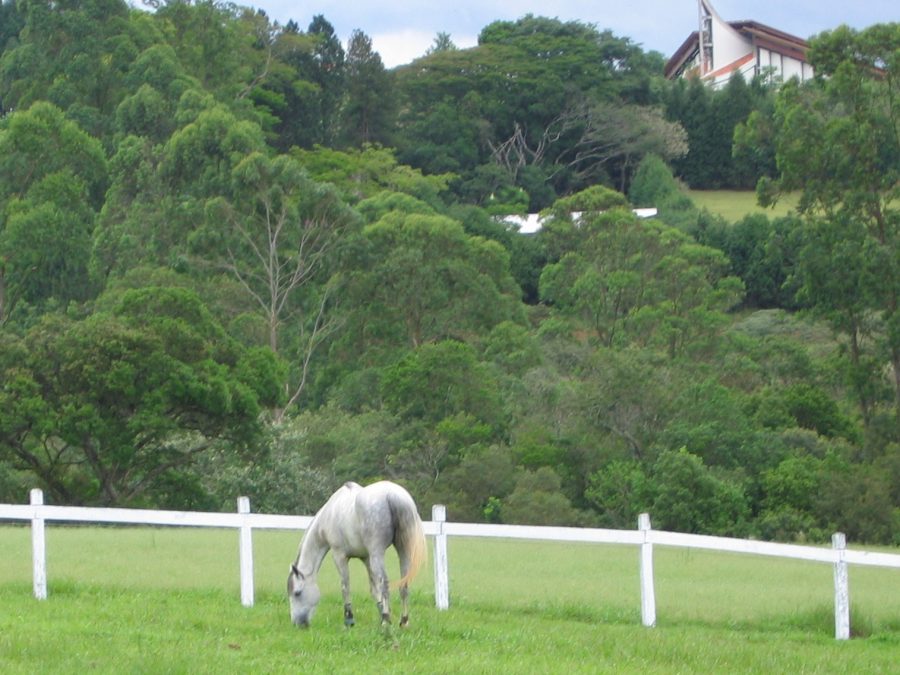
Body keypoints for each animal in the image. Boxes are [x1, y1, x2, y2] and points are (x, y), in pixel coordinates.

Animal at [287, 480, 427, 629]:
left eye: (297, 593)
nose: (298, 623)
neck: (330, 513)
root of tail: (392, 495)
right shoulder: (366, 558)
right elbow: (374, 588)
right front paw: (382, 613)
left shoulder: (339, 556)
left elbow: (345, 586)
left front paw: (349, 619)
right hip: (403, 551)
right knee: (403, 584)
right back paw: (404, 621)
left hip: (377, 553)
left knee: (385, 584)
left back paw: (386, 621)